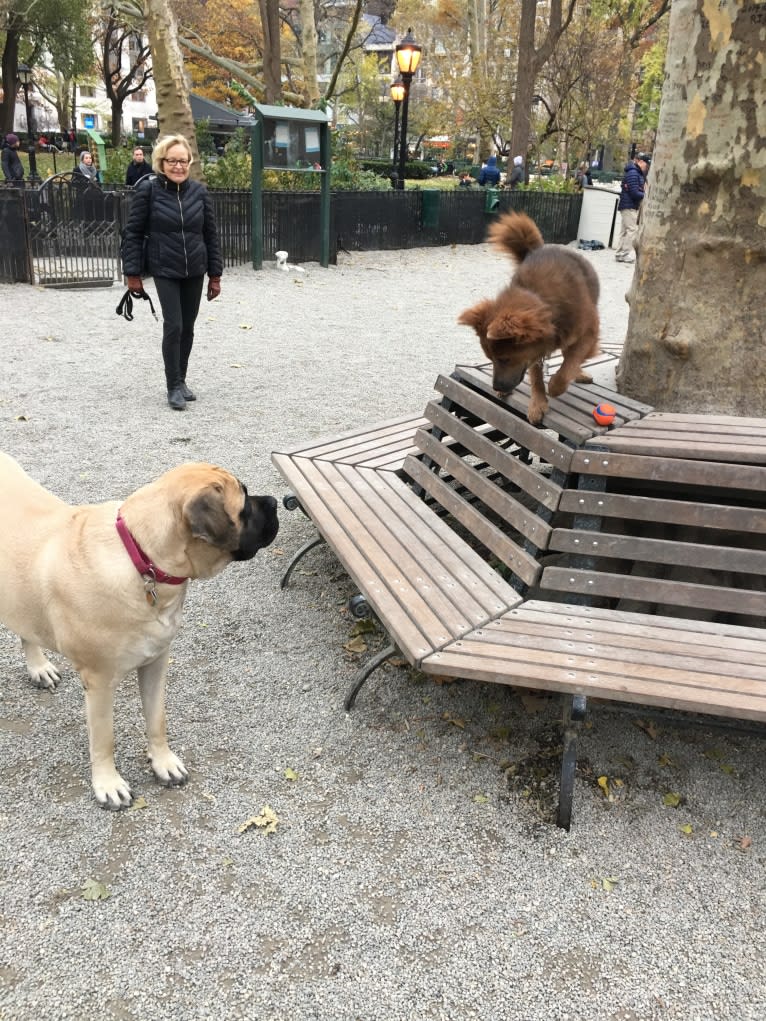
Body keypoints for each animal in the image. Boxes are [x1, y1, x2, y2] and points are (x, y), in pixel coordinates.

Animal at [0, 455, 279, 812]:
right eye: (244, 504)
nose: (275, 502)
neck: (142, 558)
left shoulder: (156, 661)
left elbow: (157, 718)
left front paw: (163, 762)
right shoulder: (99, 682)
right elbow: (104, 739)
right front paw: (108, 784)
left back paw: (38, 667)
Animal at [459, 211, 604, 422]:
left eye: (504, 359)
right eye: (490, 358)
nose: (496, 387)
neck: (542, 301)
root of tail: (539, 249)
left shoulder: (588, 333)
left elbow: (569, 364)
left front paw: (556, 386)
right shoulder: (534, 350)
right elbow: (536, 375)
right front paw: (538, 403)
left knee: (571, 357)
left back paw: (578, 374)